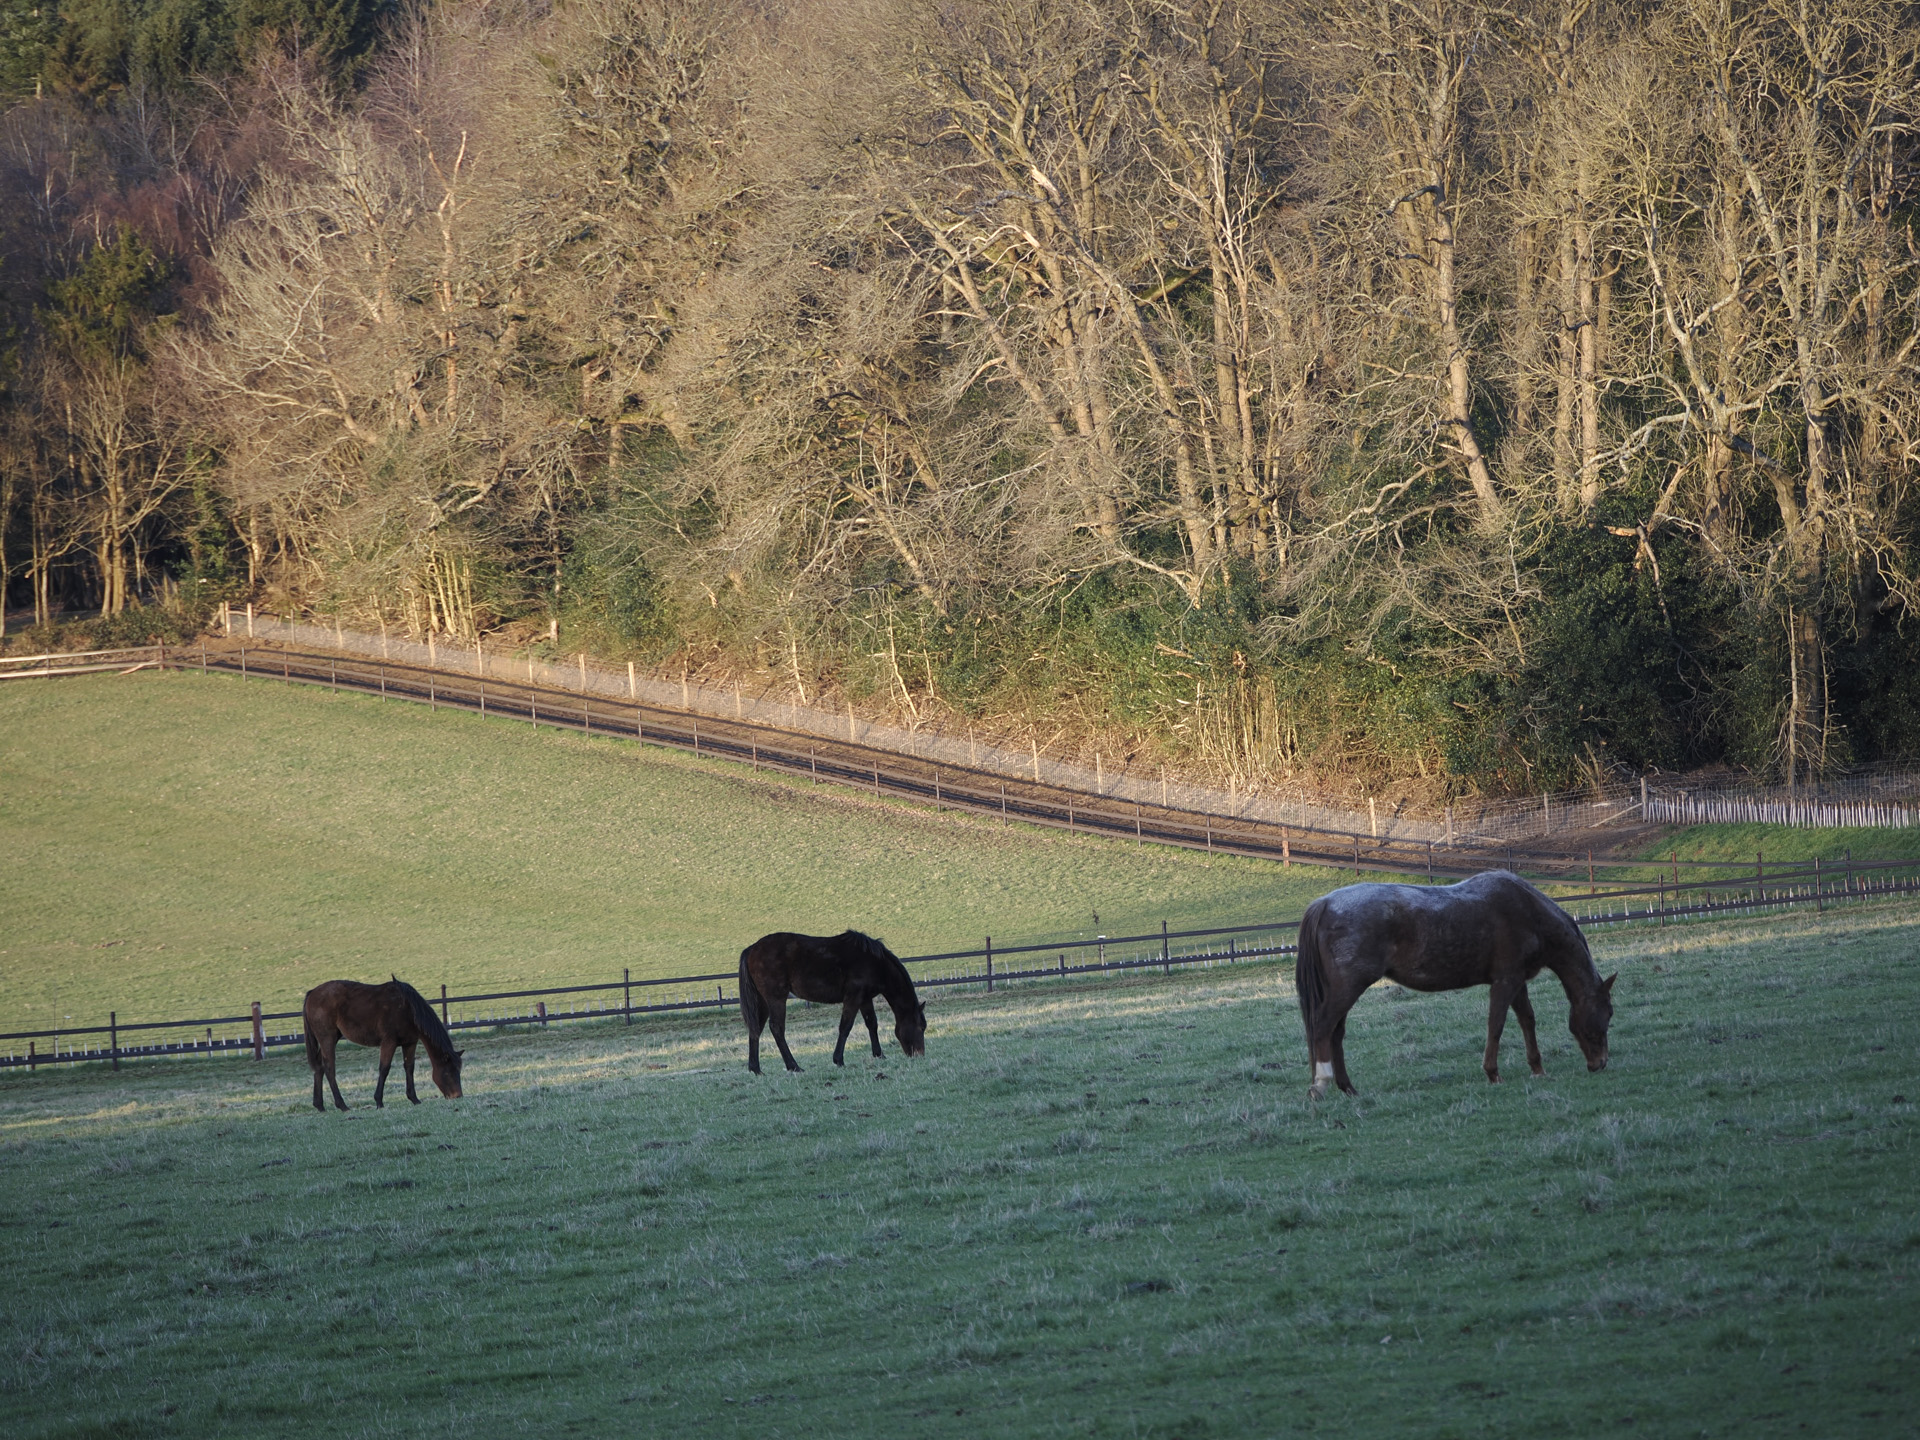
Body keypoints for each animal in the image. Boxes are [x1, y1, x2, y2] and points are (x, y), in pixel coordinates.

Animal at [303, 983, 464, 1113]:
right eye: (448, 1072)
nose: (458, 1096)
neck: (407, 1008)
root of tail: (312, 992)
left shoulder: (410, 1043)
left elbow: (409, 1068)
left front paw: (414, 1098)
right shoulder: (389, 1042)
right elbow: (384, 1069)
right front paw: (379, 1101)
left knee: (319, 1067)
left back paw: (320, 1105)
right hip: (327, 1038)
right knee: (329, 1068)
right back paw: (342, 1105)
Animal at [737, 929, 925, 1075]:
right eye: (921, 1027)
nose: (920, 1055)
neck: (876, 963)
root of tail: (752, 949)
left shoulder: (865, 999)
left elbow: (872, 1023)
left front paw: (879, 1055)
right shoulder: (853, 997)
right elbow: (846, 1026)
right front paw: (838, 1060)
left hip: (762, 1001)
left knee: (756, 1029)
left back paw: (756, 1069)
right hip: (776, 998)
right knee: (777, 1028)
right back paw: (793, 1066)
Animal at [1297, 867, 1612, 1105]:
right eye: (1608, 1014)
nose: (1600, 1063)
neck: (1528, 912)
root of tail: (1324, 903)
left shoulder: (1516, 980)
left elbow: (1527, 1020)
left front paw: (1536, 1068)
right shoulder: (1505, 981)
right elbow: (1496, 1024)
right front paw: (1493, 1073)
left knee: (1335, 1034)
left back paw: (1348, 1089)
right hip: (1348, 987)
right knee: (1323, 1027)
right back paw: (1321, 1084)